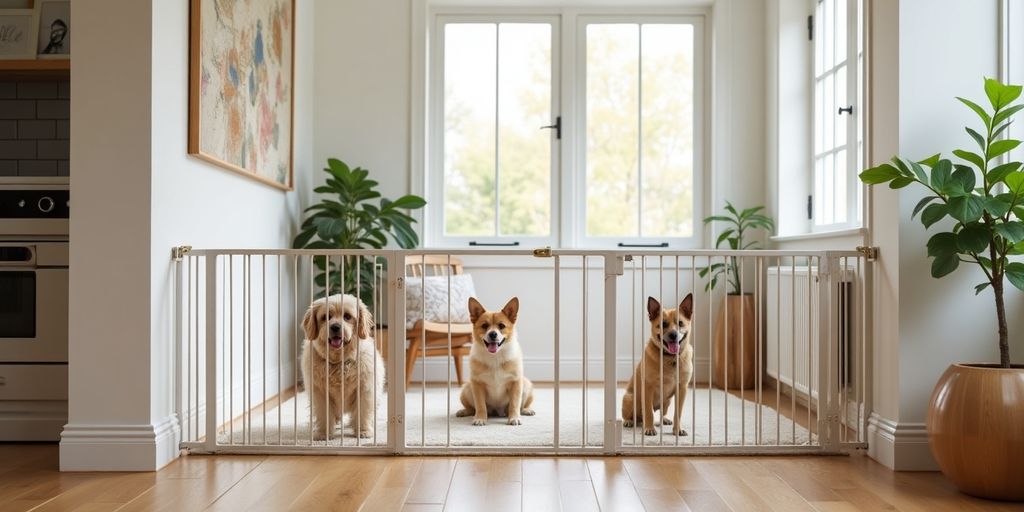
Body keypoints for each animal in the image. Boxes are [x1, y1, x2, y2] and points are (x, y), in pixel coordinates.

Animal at [303, 294, 387, 438]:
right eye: (326, 317)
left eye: (347, 316)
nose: (335, 327)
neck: (339, 363)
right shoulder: (320, 392)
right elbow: (323, 414)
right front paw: (323, 433)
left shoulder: (365, 390)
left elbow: (363, 412)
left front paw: (363, 431)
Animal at [618, 294, 692, 434]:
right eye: (663, 324)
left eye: (680, 323)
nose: (673, 335)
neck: (669, 359)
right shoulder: (648, 387)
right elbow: (649, 412)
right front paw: (649, 428)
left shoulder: (682, 389)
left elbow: (678, 413)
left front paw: (677, 429)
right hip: (629, 399)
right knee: (633, 416)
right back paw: (629, 421)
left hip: (667, 402)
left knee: (661, 414)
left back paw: (664, 420)